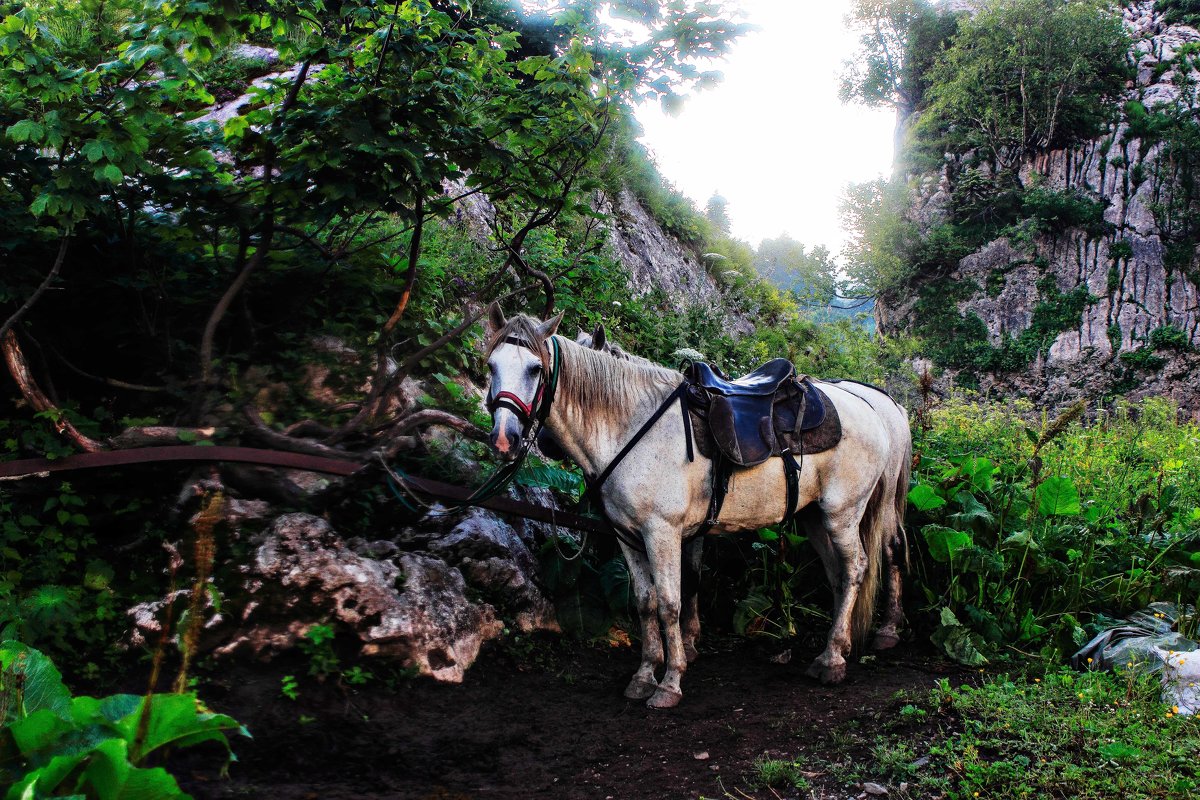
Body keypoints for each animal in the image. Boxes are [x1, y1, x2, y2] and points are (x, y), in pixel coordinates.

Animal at [487, 307, 907, 705]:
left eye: (535, 369)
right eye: (490, 365)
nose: (505, 438)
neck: (631, 426)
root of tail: (872, 406)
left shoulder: (663, 532)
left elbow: (670, 602)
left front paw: (670, 681)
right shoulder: (628, 536)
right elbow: (646, 602)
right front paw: (644, 675)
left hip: (842, 513)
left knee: (859, 566)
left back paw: (835, 658)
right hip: (814, 518)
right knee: (839, 574)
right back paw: (837, 646)